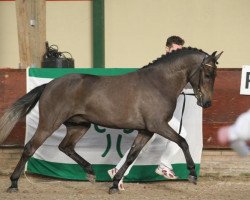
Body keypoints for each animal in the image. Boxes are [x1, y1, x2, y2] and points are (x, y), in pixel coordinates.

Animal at [0, 47, 223, 194]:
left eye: (215, 74)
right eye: (208, 73)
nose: (207, 102)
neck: (158, 83)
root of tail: (49, 84)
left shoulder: (147, 130)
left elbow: (132, 155)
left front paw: (115, 184)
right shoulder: (158, 125)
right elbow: (183, 141)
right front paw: (192, 174)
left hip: (79, 125)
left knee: (65, 147)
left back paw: (90, 172)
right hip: (49, 124)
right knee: (30, 147)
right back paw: (13, 184)